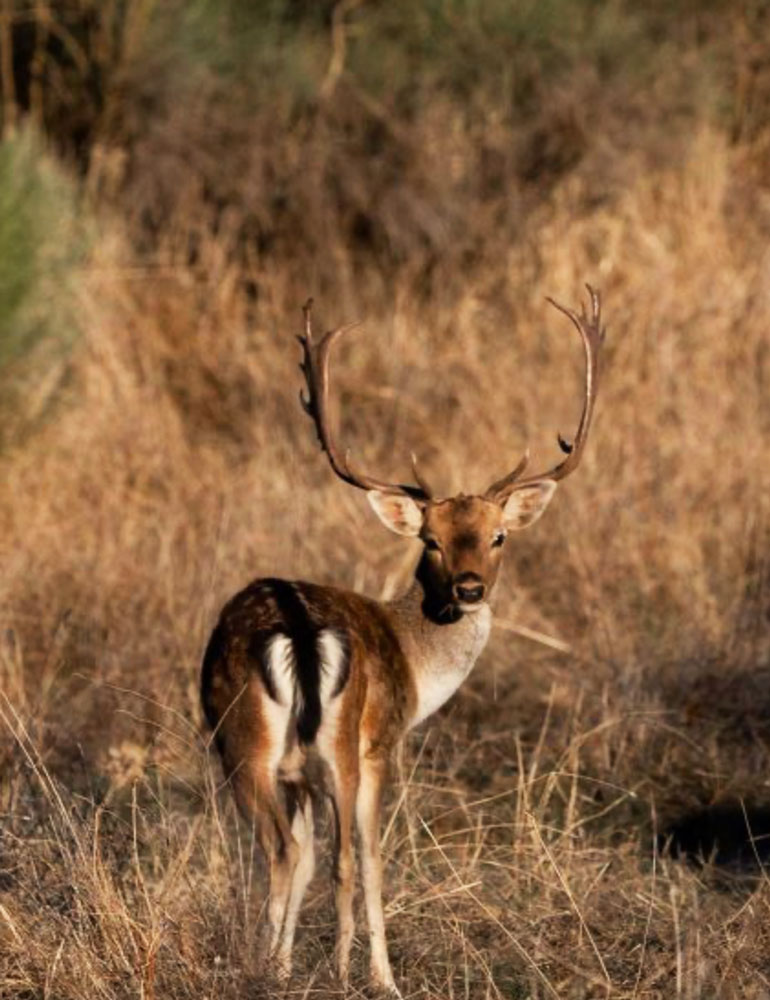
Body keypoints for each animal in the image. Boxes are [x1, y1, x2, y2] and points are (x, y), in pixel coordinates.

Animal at [201, 287, 604, 994]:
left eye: (498, 536)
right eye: (431, 540)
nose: (468, 588)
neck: (416, 665)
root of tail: (297, 629)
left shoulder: (299, 775)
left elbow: (314, 862)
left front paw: (285, 963)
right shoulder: (383, 743)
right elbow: (366, 860)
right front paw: (375, 975)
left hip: (244, 744)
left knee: (291, 851)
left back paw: (268, 965)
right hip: (332, 747)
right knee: (322, 855)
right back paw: (318, 969)